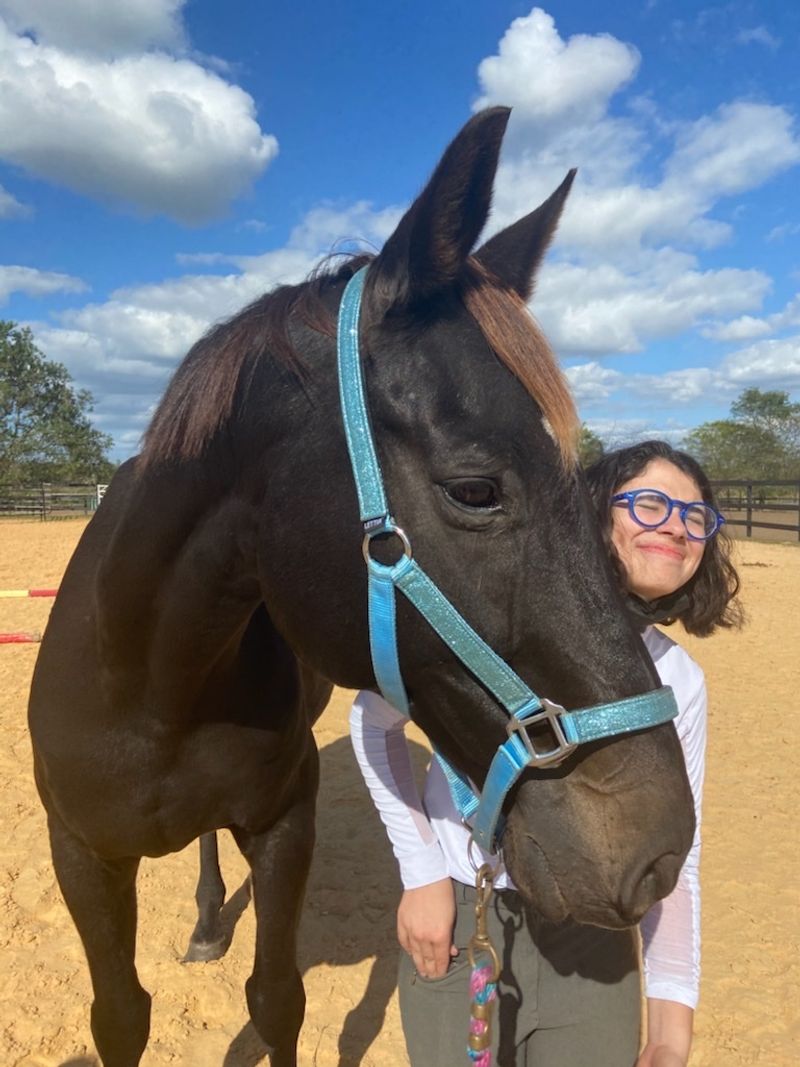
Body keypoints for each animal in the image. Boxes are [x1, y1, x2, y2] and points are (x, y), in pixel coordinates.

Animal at [28, 107, 694, 1067]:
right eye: (475, 490)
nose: (661, 851)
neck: (152, 687)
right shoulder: (80, 851)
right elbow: (119, 1014)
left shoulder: (284, 824)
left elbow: (276, 999)